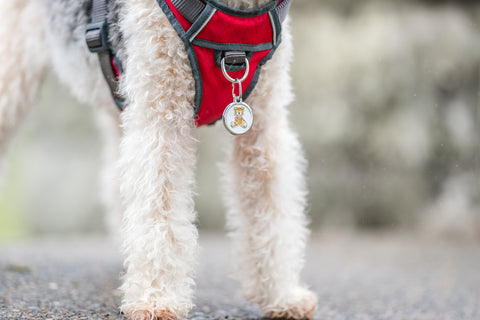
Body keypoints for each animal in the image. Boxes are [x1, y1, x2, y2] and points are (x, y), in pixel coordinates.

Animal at [0, 0, 318, 320]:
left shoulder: (262, 127)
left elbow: (270, 210)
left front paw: (281, 295)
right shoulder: (162, 120)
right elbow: (159, 212)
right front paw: (156, 299)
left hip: (121, 99)